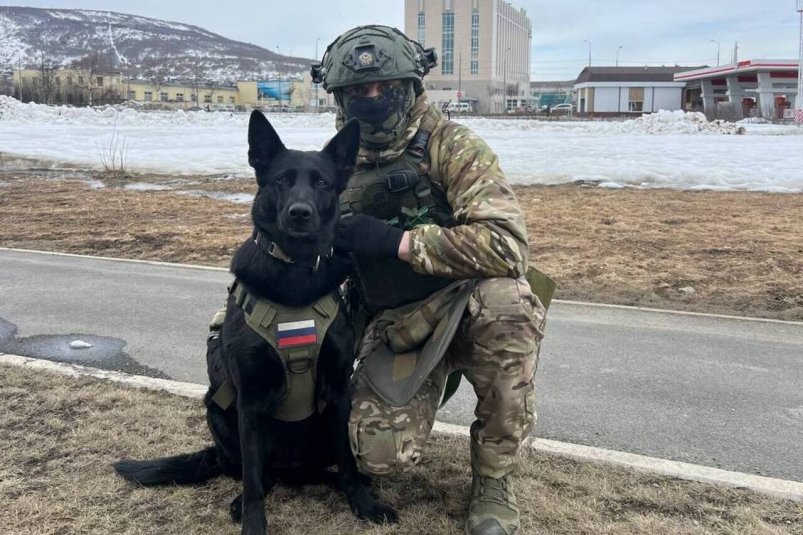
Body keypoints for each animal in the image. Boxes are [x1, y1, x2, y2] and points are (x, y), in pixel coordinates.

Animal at [113, 111, 397, 534]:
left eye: (322, 183)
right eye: (281, 180)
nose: (300, 213)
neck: (295, 275)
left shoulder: (338, 390)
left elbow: (347, 459)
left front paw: (363, 503)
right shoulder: (250, 400)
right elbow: (252, 481)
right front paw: (252, 523)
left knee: (314, 470)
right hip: (217, 414)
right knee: (258, 474)